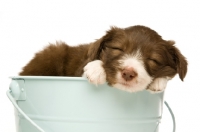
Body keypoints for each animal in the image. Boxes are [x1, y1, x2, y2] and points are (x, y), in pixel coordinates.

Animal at [19, 25, 187, 92]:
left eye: (154, 60)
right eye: (118, 49)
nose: (128, 73)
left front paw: (158, 81)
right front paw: (96, 70)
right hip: (54, 51)